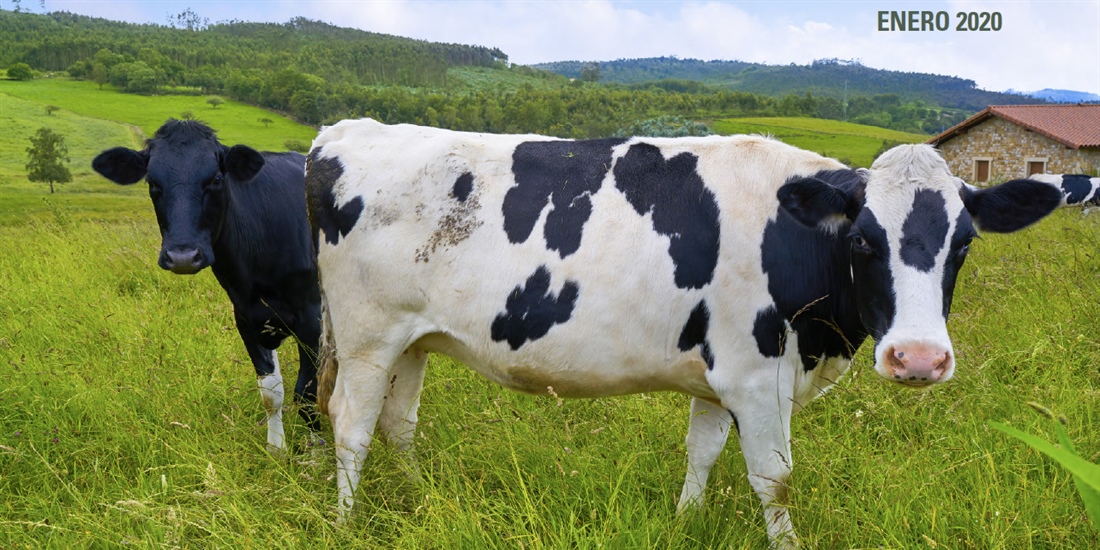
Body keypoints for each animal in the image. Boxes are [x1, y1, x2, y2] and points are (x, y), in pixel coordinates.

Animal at [92, 119, 321, 452]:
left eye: (215, 179)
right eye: (152, 183)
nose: (183, 256)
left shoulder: (313, 319)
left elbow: (307, 392)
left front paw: (317, 451)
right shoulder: (247, 318)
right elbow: (271, 393)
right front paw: (276, 450)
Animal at [304, 119, 1062, 548]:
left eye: (963, 244)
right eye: (863, 240)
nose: (919, 358)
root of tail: (344, 130)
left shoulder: (719, 374)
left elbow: (701, 454)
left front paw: (685, 523)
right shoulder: (758, 378)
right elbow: (774, 480)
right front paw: (785, 544)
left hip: (413, 339)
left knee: (398, 424)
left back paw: (422, 498)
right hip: (367, 336)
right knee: (351, 425)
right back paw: (344, 525)